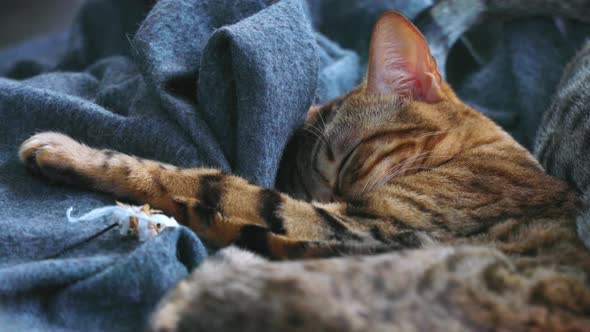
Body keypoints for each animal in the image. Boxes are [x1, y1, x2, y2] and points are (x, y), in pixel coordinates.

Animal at [16, 9, 590, 330]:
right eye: (310, 182)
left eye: (347, 161)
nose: (329, 193)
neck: (473, 154)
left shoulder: (364, 227)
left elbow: (194, 180)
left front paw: (70, 153)